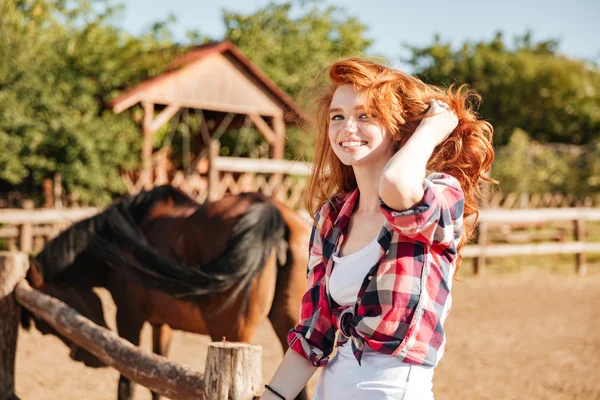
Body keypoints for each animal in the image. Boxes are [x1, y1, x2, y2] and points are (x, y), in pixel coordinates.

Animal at [22, 187, 310, 400]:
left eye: (43, 323)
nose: (88, 360)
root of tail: (271, 212)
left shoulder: (129, 319)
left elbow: (127, 383)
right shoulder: (163, 325)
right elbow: (157, 379)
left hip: (234, 333)